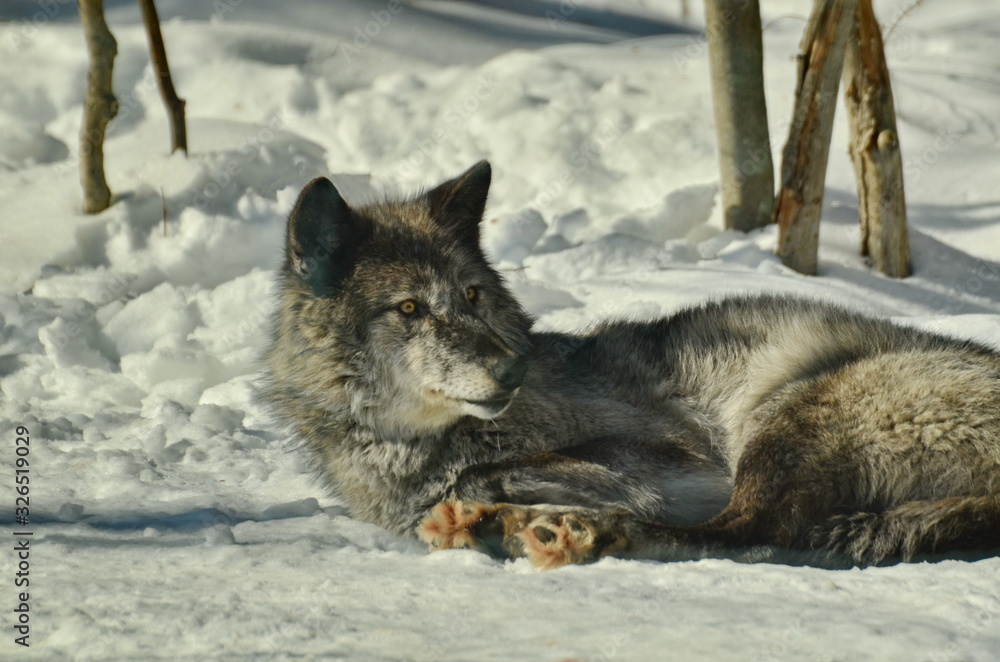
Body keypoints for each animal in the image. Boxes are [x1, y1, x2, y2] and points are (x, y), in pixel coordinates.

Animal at [262, 161, 1000, 570]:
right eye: (410, 308)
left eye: (471, 296)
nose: (513, 372)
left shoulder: (688, 463)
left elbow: (479, 472)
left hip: (788, 414)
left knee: (752, 533)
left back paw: (577, 533)